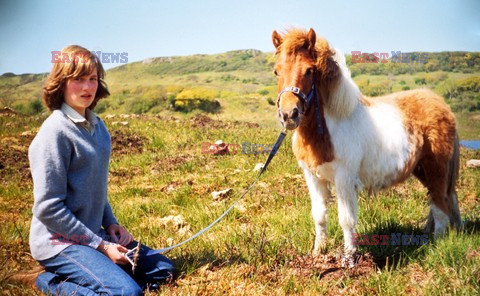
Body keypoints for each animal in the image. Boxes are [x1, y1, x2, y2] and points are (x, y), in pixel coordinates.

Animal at [270, 27, 462, 266]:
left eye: (309, 71)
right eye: (276, 71)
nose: (289, 115)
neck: (330, 127)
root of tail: (442, 105)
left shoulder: (344, 178)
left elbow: (346, 219)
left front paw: (349, 258)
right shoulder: (312, 176)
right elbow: (319, 215)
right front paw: (318, 253)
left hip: (437, 170)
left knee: (441, 206)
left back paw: (435, 244)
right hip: (422, 170)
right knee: (439, 203)